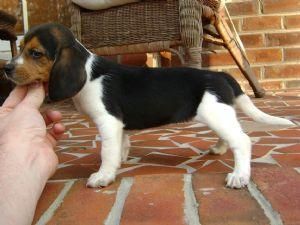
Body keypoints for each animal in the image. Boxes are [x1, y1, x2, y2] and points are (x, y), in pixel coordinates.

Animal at [3, 23, 294, 188]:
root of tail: (221, 75)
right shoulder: (119, 126)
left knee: (242, 141)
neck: (87, 72)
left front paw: (104, 175)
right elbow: (120, 145)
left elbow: (107, 151)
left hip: (215, 113)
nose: (6, 68)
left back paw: (239, 176)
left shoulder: (108, 122)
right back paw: (219, 149)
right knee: (230, 137)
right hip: (219, 114)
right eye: (20, 47)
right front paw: (120, 161)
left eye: (35, 53)